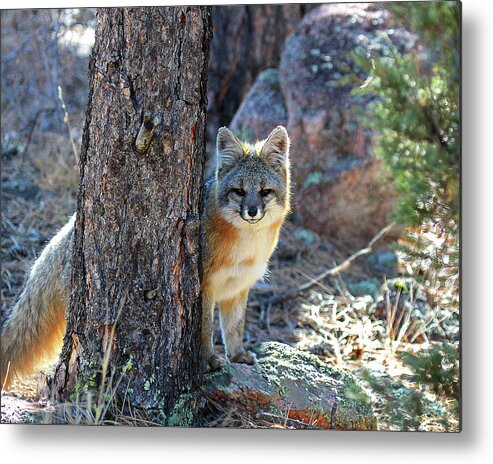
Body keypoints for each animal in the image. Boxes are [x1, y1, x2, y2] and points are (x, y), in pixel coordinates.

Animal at [0, 125, 288, 386]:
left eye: (264, 192)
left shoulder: (238, 288)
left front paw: (238, 355)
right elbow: (206, 330)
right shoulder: (205, 287)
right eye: (239, 191)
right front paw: (208, 360)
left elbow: (234, 328)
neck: (245, 247)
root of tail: (70, 227)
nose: (252, 211)